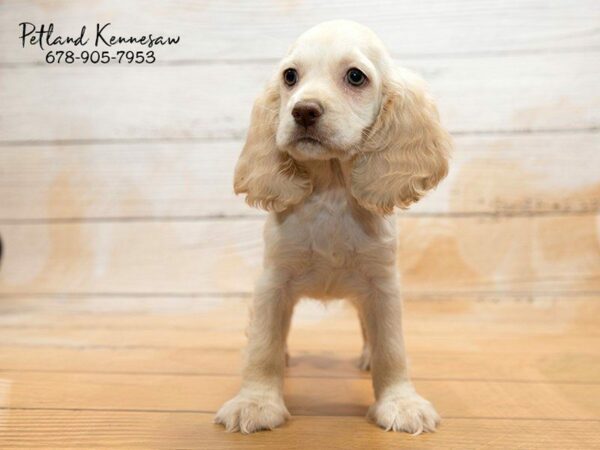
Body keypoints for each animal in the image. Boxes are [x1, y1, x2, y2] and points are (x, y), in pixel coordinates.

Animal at [216, 19, 450, 434]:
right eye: (290, 76)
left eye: (355, 76)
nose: (303, 111)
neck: (332, 190)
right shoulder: (273, 283)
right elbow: (262, 346)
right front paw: (255, 403)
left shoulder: (382, 285)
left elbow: (392, 347)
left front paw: (401, 403)